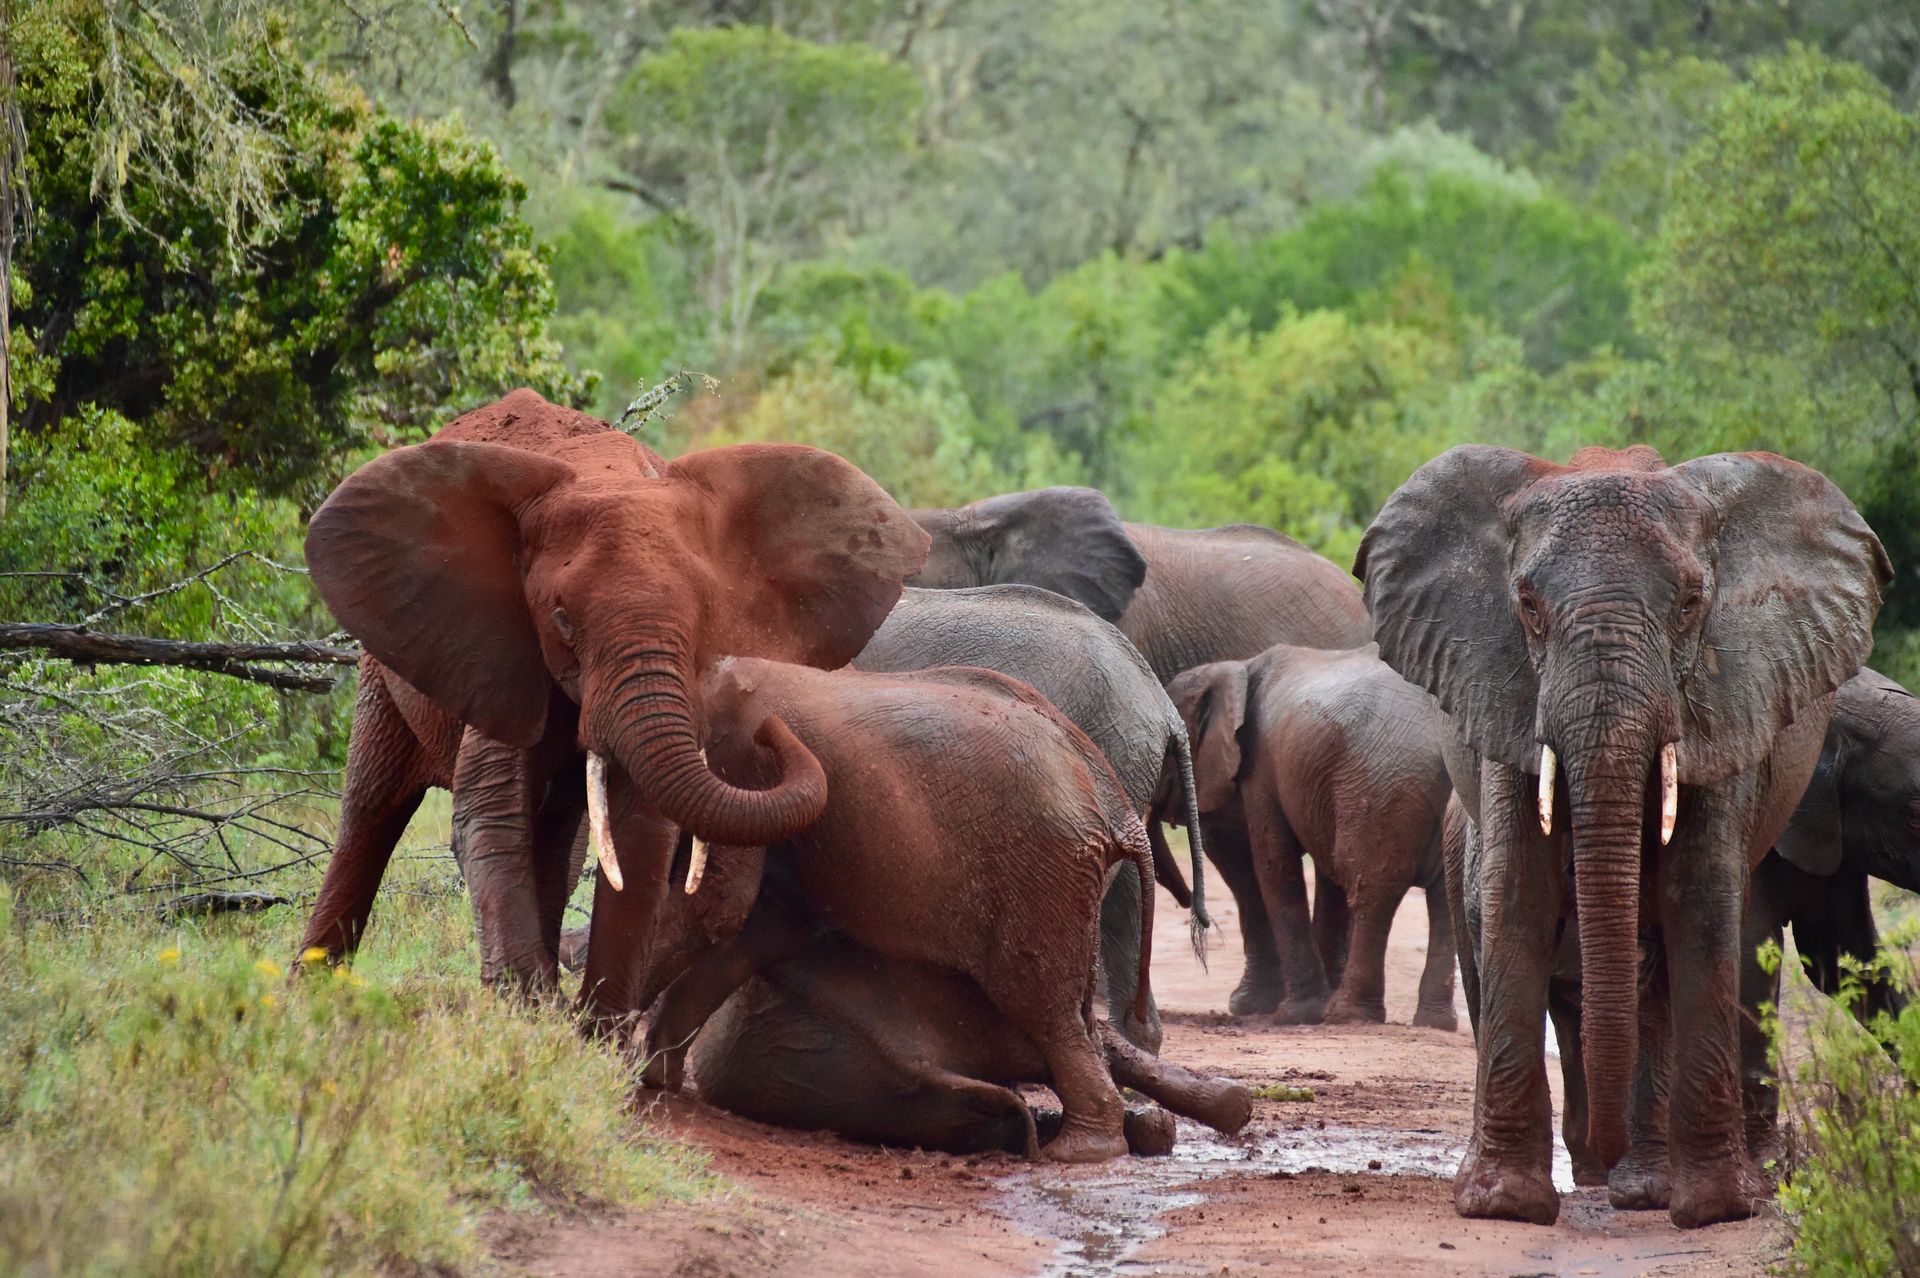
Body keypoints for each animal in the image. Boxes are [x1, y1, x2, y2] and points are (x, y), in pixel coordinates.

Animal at [296, 389, 929, 1025]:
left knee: (560, 836)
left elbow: (638, 830)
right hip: (385, 665)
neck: (607, 474)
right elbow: (491, 807)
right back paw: (312, 988)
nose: (768, 726)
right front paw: (529, 1019)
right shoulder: (500, 643)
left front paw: (587, 1035)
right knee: (373, 807)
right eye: (561, 619)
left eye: (706, 617)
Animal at [635, 657, 1157, 1163]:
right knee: (1073, 1010)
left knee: (1041, 1006)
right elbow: (761, 926)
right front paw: (652, 1073)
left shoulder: (740, 760)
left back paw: (1078, 1152)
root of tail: (1121, 811)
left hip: (1041, 871)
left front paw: (618, 1058)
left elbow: (718, 904)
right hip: (1071, 878)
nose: (774, 732)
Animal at [1164, 644, 1458, 1032]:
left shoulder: (1260, 766)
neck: (1236, 668)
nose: (1200, 920)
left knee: (1371, 890)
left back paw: (1347, 1015)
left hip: (1382, 785)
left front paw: (1296, 1015)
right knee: (1443, 898)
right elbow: (1324, 871)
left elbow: (1275, 862)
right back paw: (1435, 1023)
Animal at [1357, 444, 1888, 1228]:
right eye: (1528, 608)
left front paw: (1716, 1210)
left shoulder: (1725, 709)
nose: (1597, 1162)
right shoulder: (1507, 702)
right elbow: (1518, 896)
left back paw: (1644, 1189)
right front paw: (1503, 1206)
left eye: (1691, 605)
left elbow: (1699, 904)